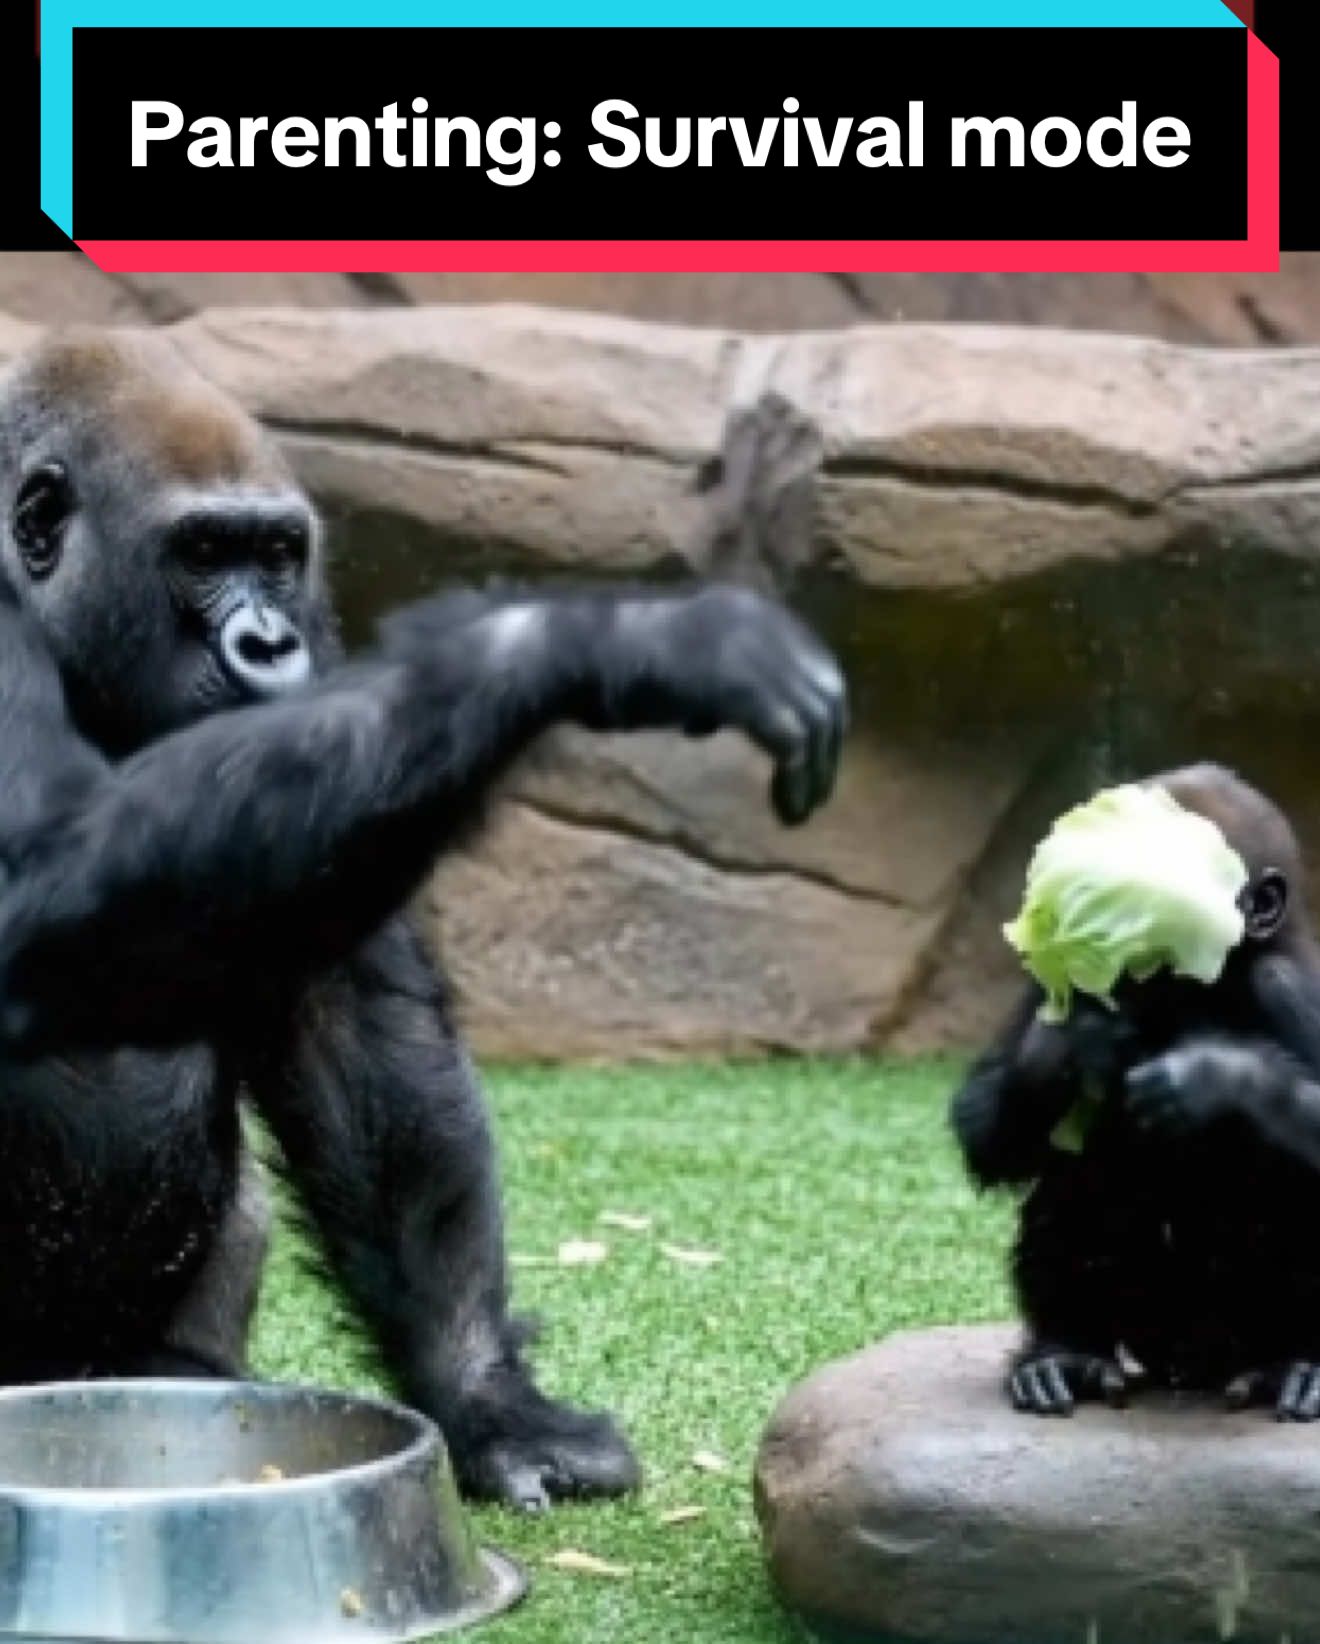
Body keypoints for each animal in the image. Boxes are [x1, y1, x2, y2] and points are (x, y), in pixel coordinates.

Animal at [0, 326, 848, 1507]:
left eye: (276, 554)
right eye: (202, 553)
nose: (268, 647)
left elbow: (351, 1015)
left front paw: (485, 1399)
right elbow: (48, 888)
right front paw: (573, 642)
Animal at [951, 763, 1320, 1420]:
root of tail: (1189, 1368)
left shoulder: (1288, 988)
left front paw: (1212, 1077)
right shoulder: (1048, 985)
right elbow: (986, 1122)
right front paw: (1067, 1046)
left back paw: (1300, 1366)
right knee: (1071, 1168)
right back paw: (1064, 1351)